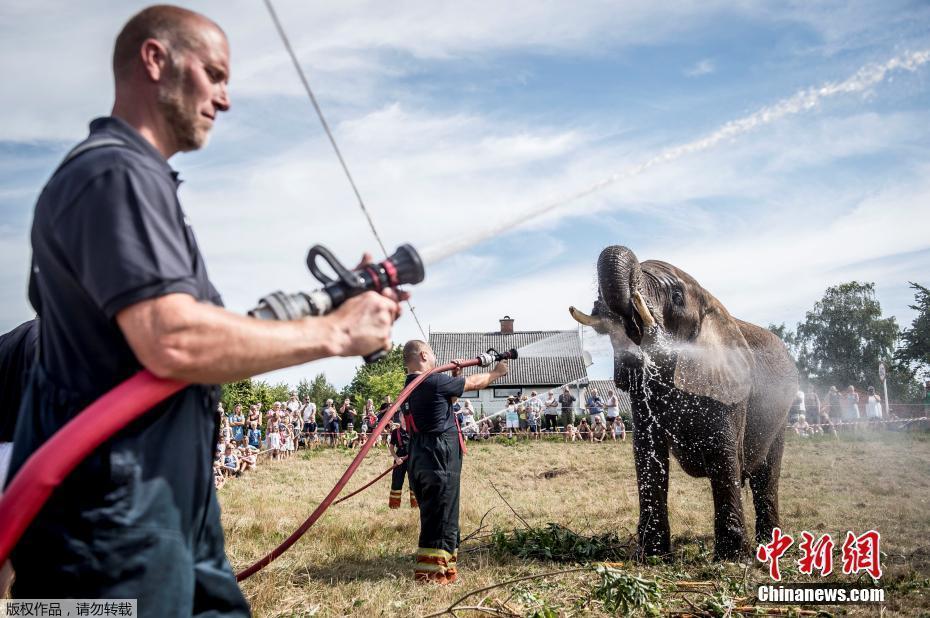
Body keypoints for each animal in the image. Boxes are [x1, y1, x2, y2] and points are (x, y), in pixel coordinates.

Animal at [568, 244, 792, 560]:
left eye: (676, 296)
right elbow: (647, 454)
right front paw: (653, 555)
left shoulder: (730, 389)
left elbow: (724, 455)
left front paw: (731, 558)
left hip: (781, 414)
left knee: (766, 479)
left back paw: (770, 548)